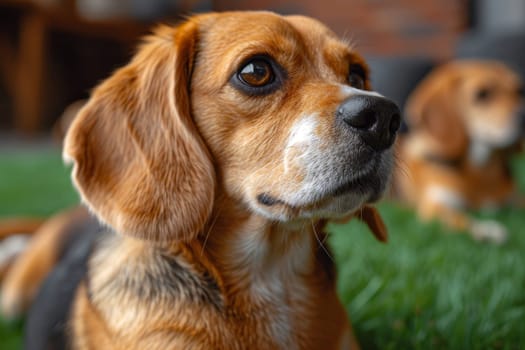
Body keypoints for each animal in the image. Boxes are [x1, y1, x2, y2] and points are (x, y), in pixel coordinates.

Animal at [396, 59, 520, 243]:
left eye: (519, 92)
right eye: (482, 95)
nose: (523, 115)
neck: (480, 171)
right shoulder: (436, 205)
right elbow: (460, 217)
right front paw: (486, 229)